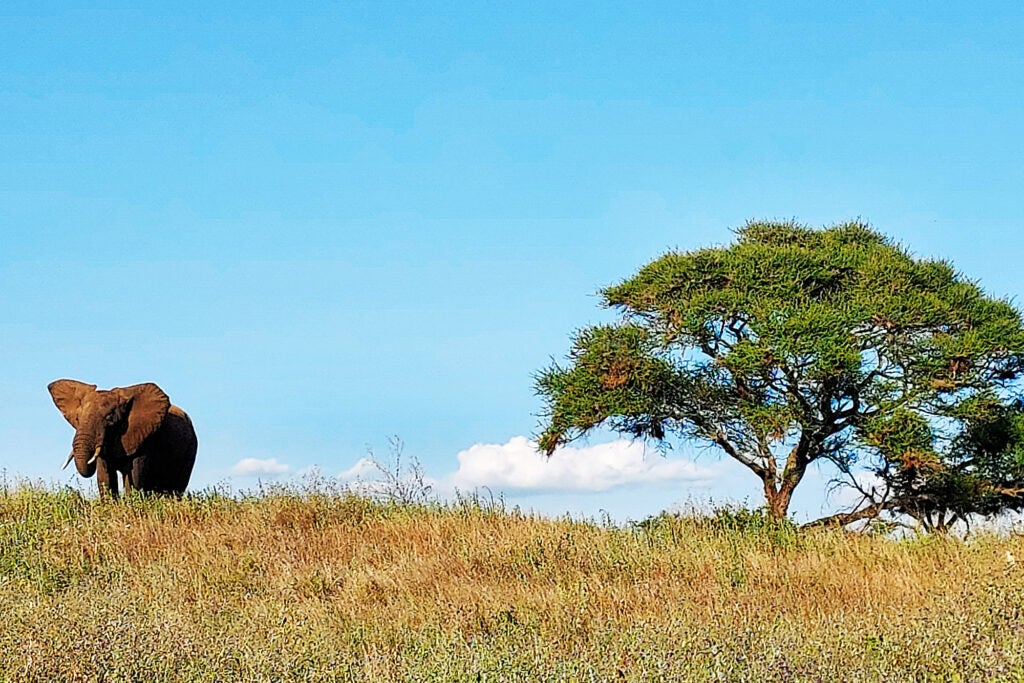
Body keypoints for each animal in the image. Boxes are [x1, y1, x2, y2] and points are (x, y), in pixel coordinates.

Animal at [48, 378, 197, 497]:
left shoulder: (144, 439)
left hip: (190, 450)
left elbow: (134, 478)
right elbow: (105, 478)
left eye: (109, 419)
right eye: (77, 419)